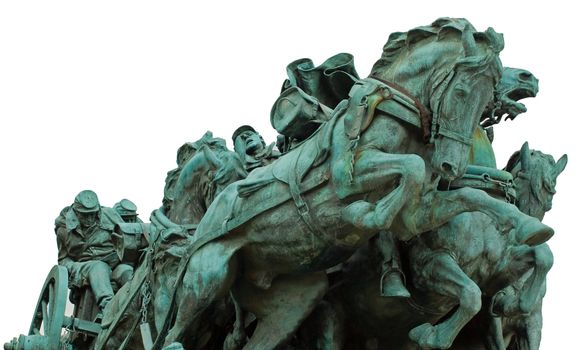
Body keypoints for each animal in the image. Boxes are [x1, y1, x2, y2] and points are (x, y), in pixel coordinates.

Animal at [161, 18, 552, 348]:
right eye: (461, 93)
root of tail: (207, 218)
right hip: (208, 274)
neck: (395, 111)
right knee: (175, 333)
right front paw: (367, 215)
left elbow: (477, 204)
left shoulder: (420, 213)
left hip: (292, 299)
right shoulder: (354, 183)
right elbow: (409, 170)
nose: (528, 78)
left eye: (486, 94)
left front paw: (530, 229)